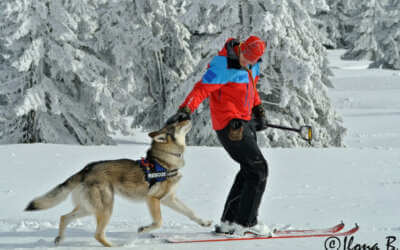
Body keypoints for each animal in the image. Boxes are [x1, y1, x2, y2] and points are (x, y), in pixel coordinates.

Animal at [25, 120, 211, 247]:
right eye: (176, 124)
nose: (188, 117)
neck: (165, 161)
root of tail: (86, 169)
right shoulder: (153, 199)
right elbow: (158, 223)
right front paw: (143, 230)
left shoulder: (169, 199)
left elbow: (190, 212)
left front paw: (204, 223)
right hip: (106, 208)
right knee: (97, 235)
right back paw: (116, 246)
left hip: (88, 209)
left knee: (64, 217)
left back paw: (59, 239)